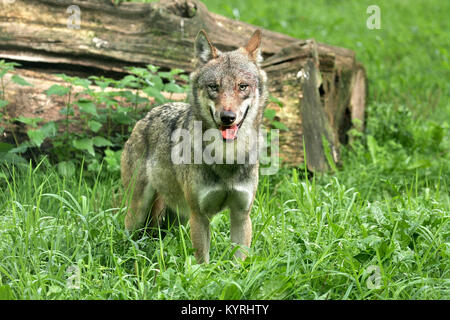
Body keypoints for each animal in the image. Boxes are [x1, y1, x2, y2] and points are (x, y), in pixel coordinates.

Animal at [120, 28, 268, 264]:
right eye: (214, 87)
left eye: (242, 86)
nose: (227, 117)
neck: (226, 157)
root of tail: (146, 116)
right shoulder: (199, 216)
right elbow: (203, 263)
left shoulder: (241, 215)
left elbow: (238, 264)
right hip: (140, 211)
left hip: (178, 217)